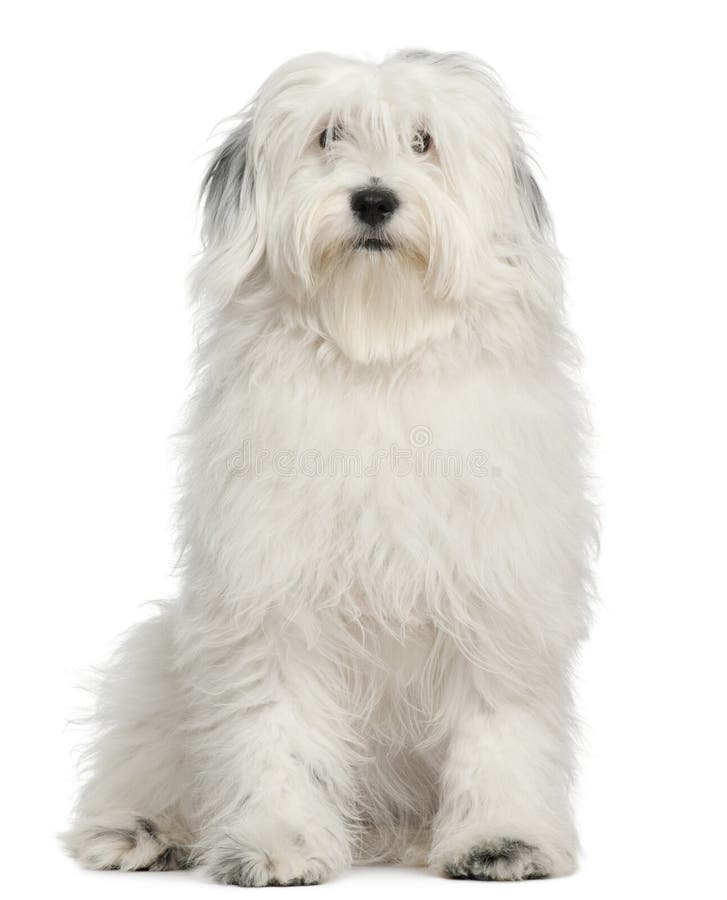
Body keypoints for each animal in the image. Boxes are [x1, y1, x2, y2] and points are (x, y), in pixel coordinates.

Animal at [64, 51, 596, 884]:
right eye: (328, 135)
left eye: (421, 141)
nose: (373, 200)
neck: (375, 353)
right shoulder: (271, 595)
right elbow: (276, 732)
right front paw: (279, 841)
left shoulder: (496, 594)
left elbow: (497, 721)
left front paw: (501, 838)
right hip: (160, 665)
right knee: (146, 753)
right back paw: (140, 827)